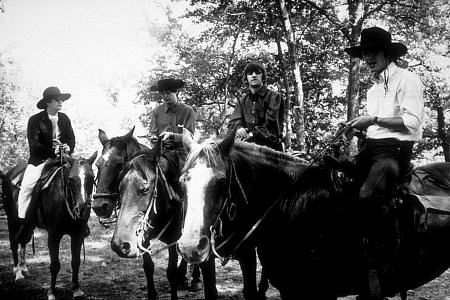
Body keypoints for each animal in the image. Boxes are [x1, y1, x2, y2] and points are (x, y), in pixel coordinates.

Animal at [2, 152, 96, 300]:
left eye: (92, 178)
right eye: (71, 179)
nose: (82, 208)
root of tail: (9, 174)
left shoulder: (78, 234)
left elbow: (76, 262)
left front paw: (76, 289)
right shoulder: (53, 235)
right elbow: (55, 265)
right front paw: (51, 292)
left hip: (28, 225)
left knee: (23, 240)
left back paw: (24, 268)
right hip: (13, 221)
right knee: (13, 241)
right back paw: (18, 272)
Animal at [110, 144, 218, 300]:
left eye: (145, 189)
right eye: (120, 189)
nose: (119, 245)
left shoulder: (173, 239)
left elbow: (171, 272)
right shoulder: (143, 238)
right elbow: (148, 267)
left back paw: (195, 280)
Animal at [177, 131, 450, 300]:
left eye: (221, 181)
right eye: (182, 182)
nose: (190, 247)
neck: (292, 205)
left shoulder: (321, 291)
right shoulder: (290, 290)